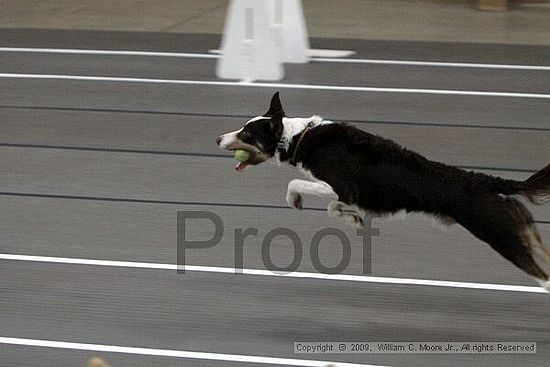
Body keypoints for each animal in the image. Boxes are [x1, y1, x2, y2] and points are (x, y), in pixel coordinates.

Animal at [219, 92, 550, 290]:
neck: (300, 137)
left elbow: (296, 184)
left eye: (246, 133)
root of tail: (485, 180)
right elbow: (334, 207)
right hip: (523, 229)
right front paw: (351, 219)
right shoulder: (345, 194)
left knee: (543, 278)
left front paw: (296, 200)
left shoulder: (339, 185)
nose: (217, 138)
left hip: (501, 236)